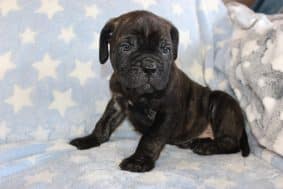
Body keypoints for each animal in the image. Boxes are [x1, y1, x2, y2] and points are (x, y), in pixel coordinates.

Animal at [69, 10, 251, 173]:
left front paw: (138, 161)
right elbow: (103, 123)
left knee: (230, 142)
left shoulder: (166, 113)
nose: (149, 67)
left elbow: (151, 137)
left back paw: (207, 146)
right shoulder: (117, 103)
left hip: (221, 102)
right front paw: (90, 139)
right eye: (126, 47)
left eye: (166, 49)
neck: (138, 94)